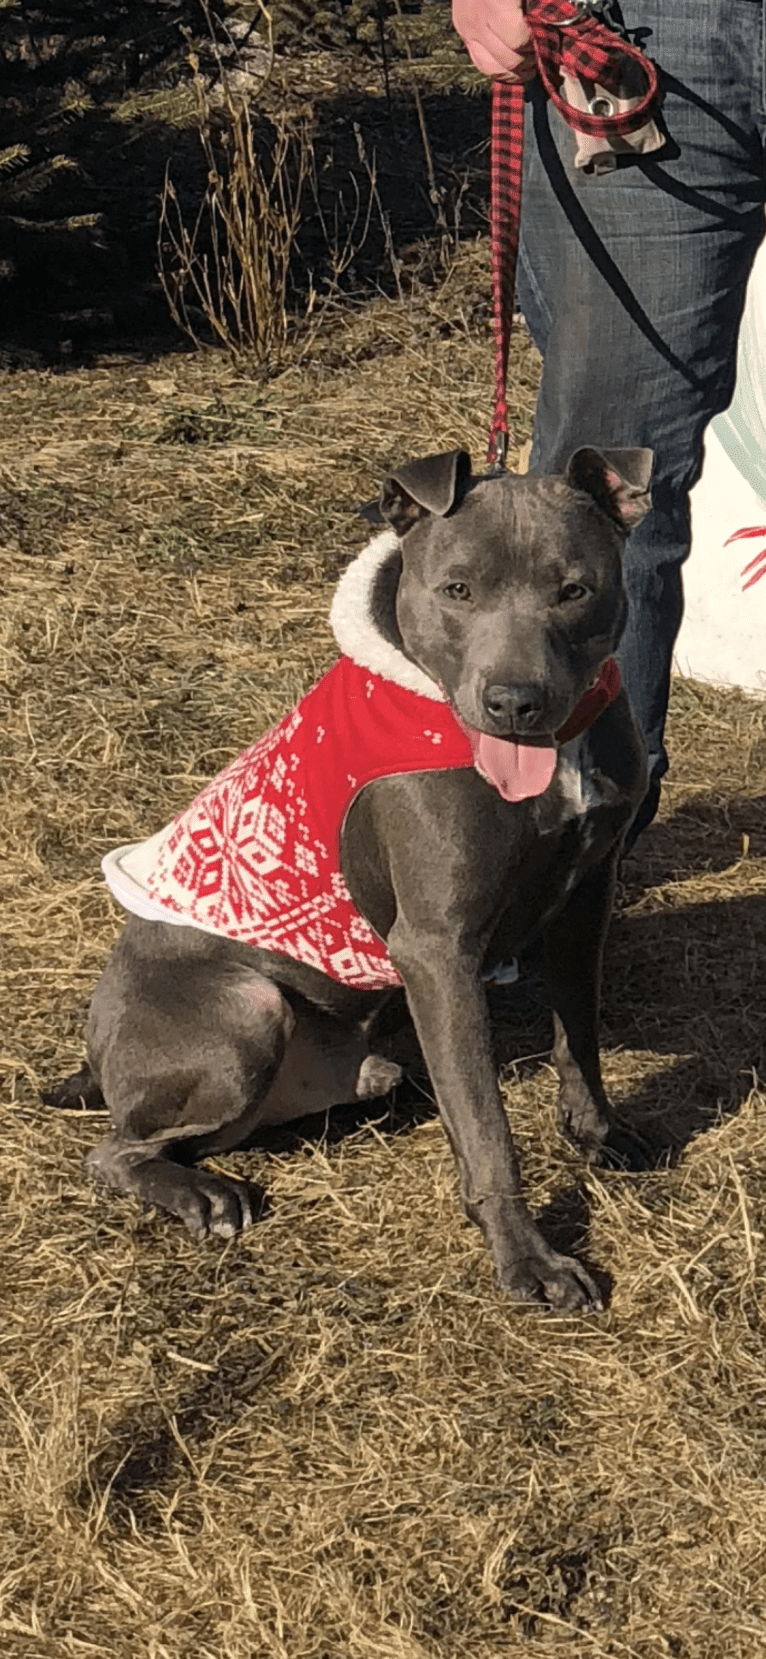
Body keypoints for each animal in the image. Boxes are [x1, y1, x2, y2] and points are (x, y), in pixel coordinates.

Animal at [46, 441, 653, 1307]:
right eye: (456, 588)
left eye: (575, 589)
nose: (515, 701)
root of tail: (95, 1055)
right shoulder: (437, 947)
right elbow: (488, 1125)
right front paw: (529, 1260)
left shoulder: (584, 898)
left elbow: (581, 1037)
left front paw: (598, 1132)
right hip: (248, 1008)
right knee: (117, 1150)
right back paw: (205, 1196)